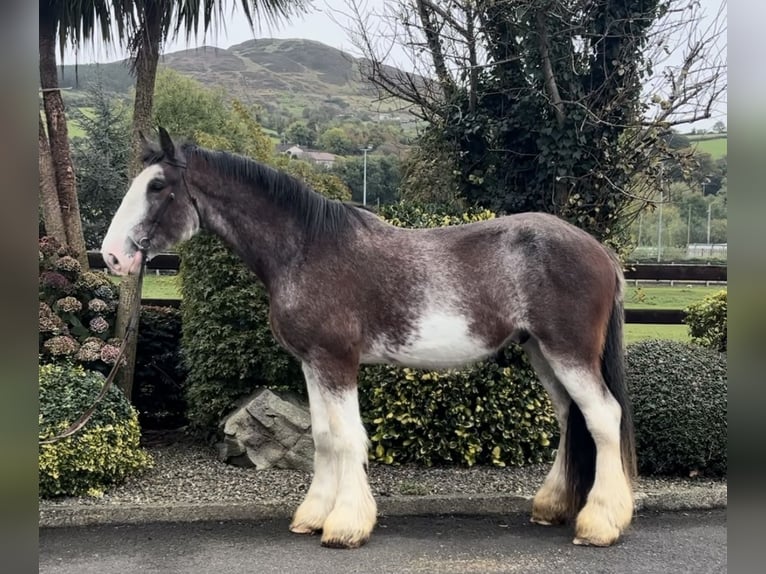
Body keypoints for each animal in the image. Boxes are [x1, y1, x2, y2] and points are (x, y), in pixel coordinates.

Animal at [103, 128, 640, 552]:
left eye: (156, 186)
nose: (111, 256)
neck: (305, 249)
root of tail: (599, 251)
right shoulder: (312, 363)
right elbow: (322, 437)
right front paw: (313, 515)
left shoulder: (337, 361)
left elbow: (347, 437)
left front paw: (346, 525)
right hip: (542, 353)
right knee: (571, 418)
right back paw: (555, 506)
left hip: (569, 352)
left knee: (603, 417)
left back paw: (600, 523)